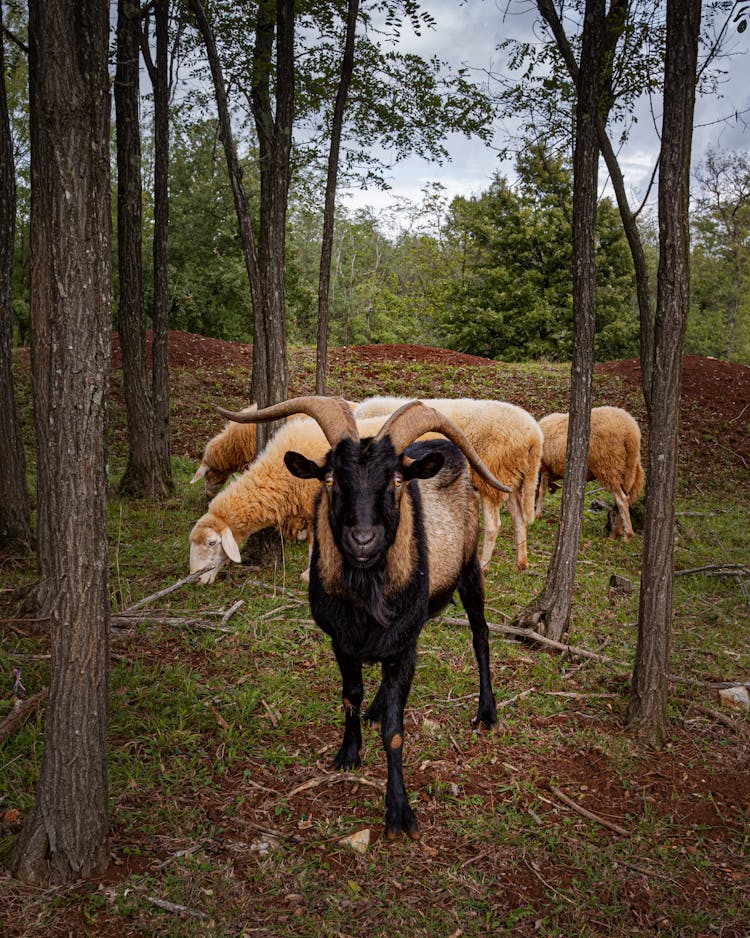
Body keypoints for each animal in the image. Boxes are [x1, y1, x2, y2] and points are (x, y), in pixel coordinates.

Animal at [214, 398, 516, 836]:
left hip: (469, 569)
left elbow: (395, 731)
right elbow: (350, 695)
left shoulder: (403, 646)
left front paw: (399, 812)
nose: (362, 540)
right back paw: (378, 706)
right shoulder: (341, 640)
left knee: (481, 634)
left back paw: (487, 713)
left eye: (396, 481)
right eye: (330, 479)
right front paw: (348, 752)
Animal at [356, 394, 544, 572]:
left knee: (494, 526)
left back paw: (484, 565)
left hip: (494, 478)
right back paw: (521, 563)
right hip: (510, 480)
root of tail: (535, 436)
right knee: (519, 519)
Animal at [536, 404, 648, 540]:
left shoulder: (545, 467)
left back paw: (626, 534)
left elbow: (542, 490)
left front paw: (537, 514)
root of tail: (630, 431)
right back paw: (617, 531)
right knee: (627, 498)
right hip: (629, 468)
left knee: (621, 499)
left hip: (609, 464)